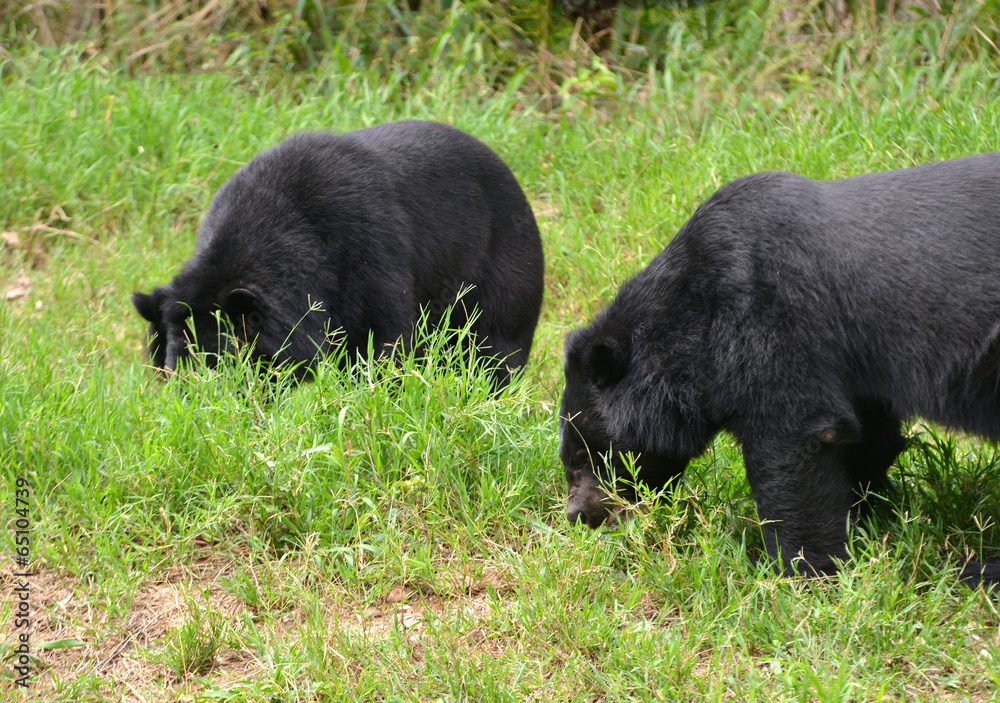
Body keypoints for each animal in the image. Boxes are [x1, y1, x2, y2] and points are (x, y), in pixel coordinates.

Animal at [133, 120, 545, 389]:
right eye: (171, 366)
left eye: (221, 362)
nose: (193, 402)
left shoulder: (369, 258)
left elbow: (382, 345)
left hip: (503, 277)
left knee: (492, 354)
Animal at [559, 152, 1000, 589]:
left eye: (582, 456)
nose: (578, 516)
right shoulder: (854, 363)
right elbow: (870, 439)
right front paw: (865, 523)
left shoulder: (771, 315)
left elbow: (794, 438)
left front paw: (792, 572)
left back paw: (976, 572)